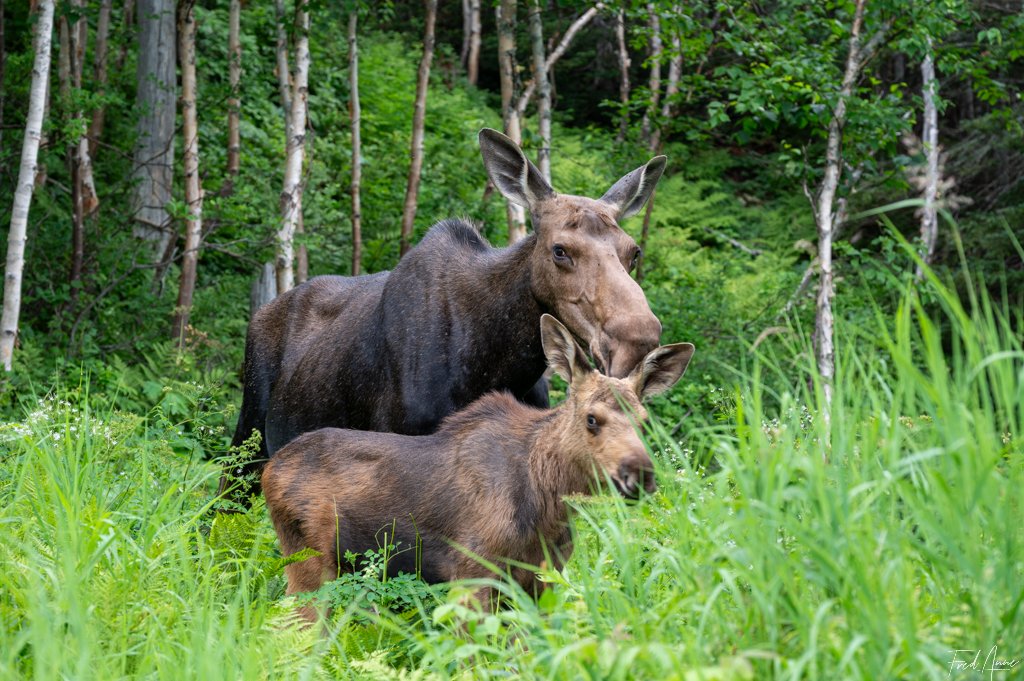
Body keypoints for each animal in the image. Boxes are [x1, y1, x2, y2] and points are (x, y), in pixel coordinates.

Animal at [264, 313, 696, 614]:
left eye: (644, 421)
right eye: (592, 418)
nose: (639, 476)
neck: (549, 503)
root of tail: (269, 470)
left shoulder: (543, 576)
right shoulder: (471, 571)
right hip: (307, 561)